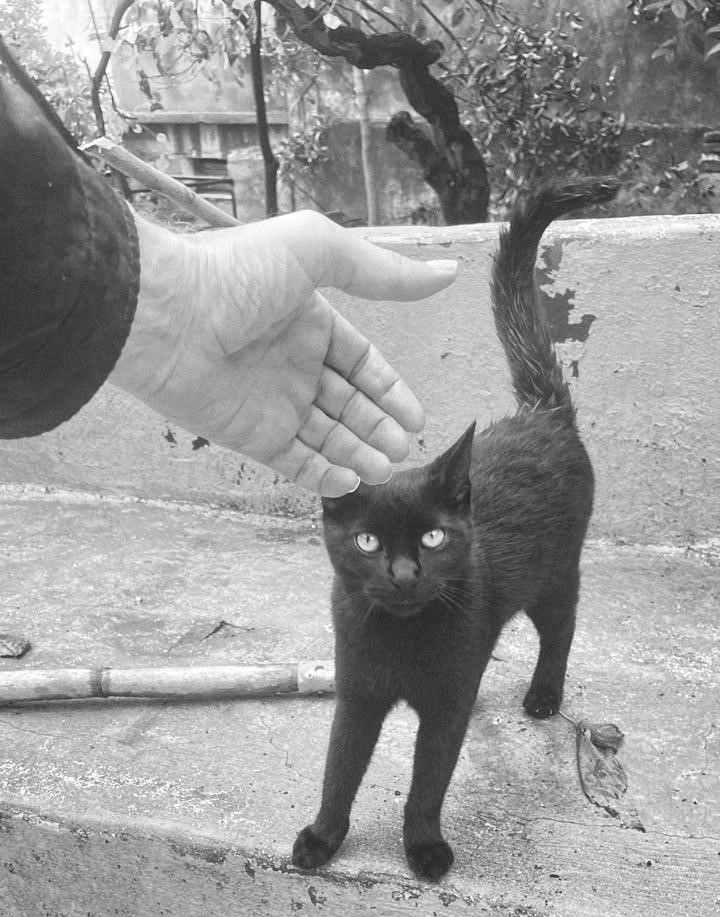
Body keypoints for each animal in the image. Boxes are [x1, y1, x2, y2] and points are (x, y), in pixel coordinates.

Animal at [292, 177, 619, 881]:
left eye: (434, 538)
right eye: (367, 541)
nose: (403, 574)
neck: (401, 638)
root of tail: (543, 411)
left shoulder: (446, 706)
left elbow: (428, 779)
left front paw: (423, 849)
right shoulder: (356, 693)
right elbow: (339, 767)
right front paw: (322, 838)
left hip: (557, 573)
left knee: (561, 628)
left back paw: (543, 695)